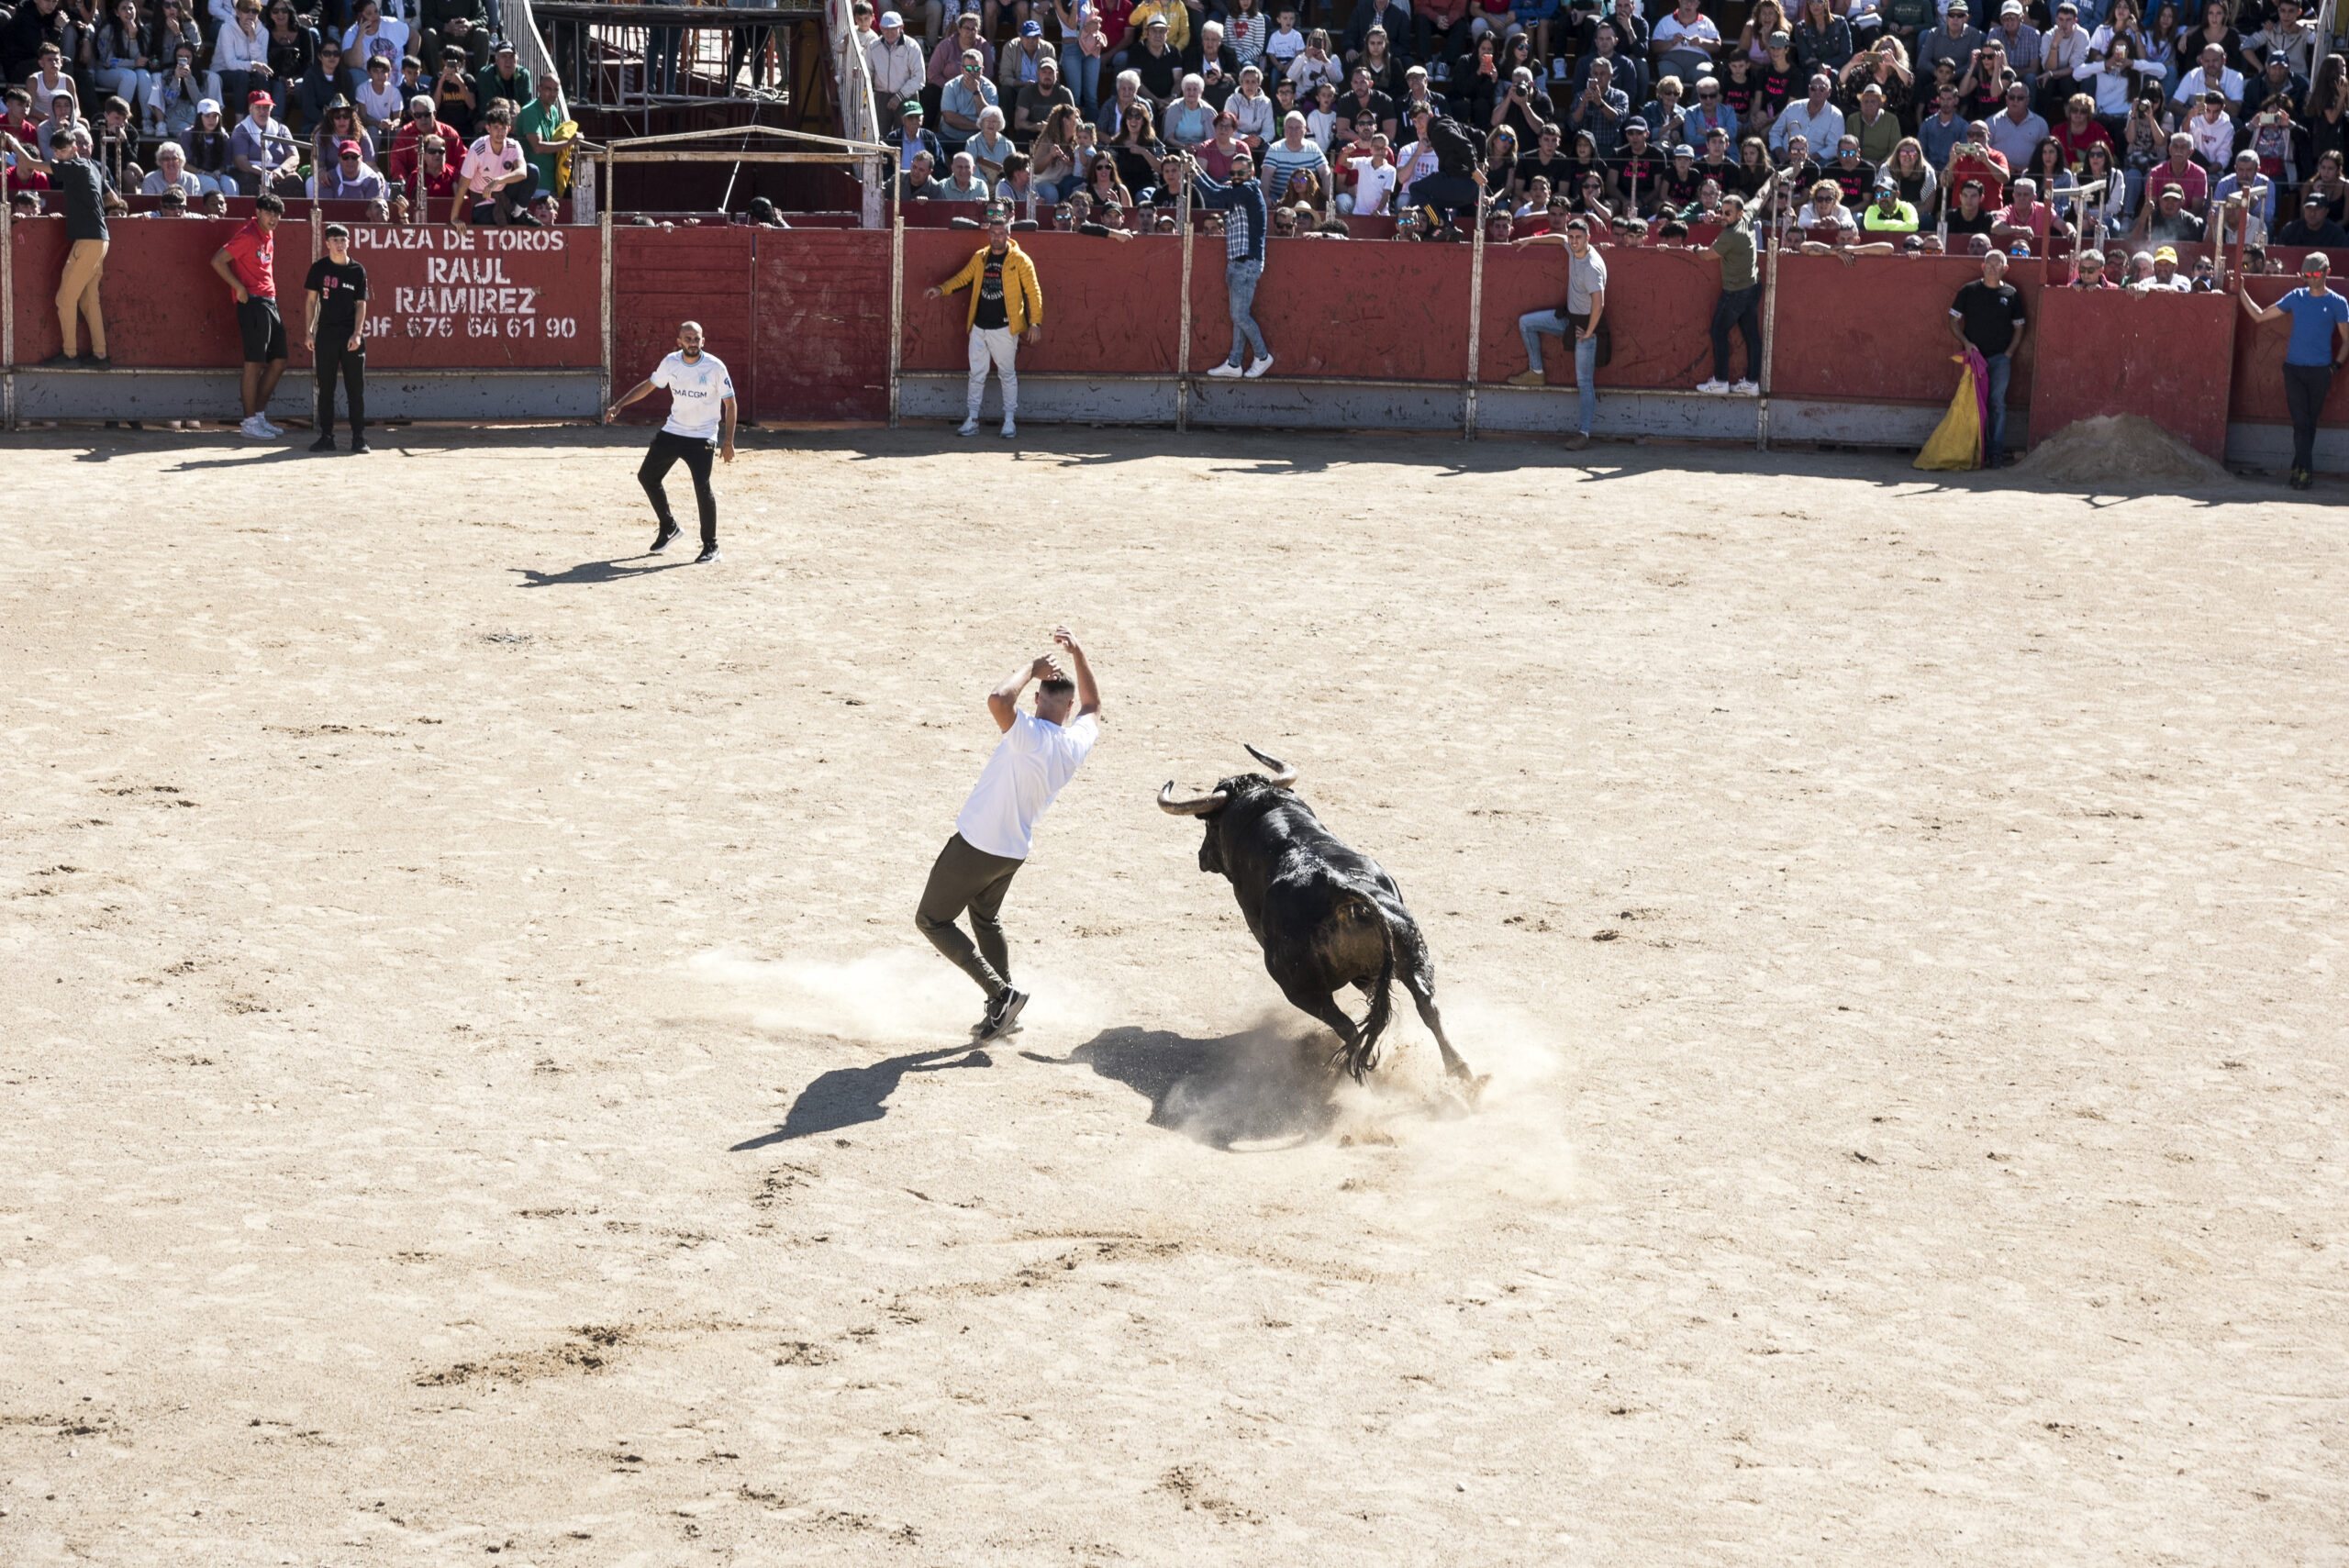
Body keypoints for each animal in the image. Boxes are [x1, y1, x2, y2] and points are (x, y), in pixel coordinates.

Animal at [1160, 751, 1475, 1089]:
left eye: (1210, 825)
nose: (1202, 856)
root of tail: (1337, 890)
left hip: (1299, 987)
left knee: (1348, 1028)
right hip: (1411, 950)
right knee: (1426, 1006)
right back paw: (1462, 1073)